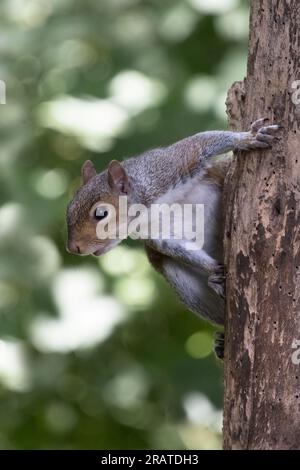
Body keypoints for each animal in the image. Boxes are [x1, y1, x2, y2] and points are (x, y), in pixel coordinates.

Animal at [66, 118, 282, 356]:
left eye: (101, 213)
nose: (73, 248)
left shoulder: (170, 167)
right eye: (69, 206)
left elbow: (202, 142)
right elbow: (177, 248)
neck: (147, 210)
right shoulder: (157, 235)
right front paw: (213, 270)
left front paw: (248, 138)